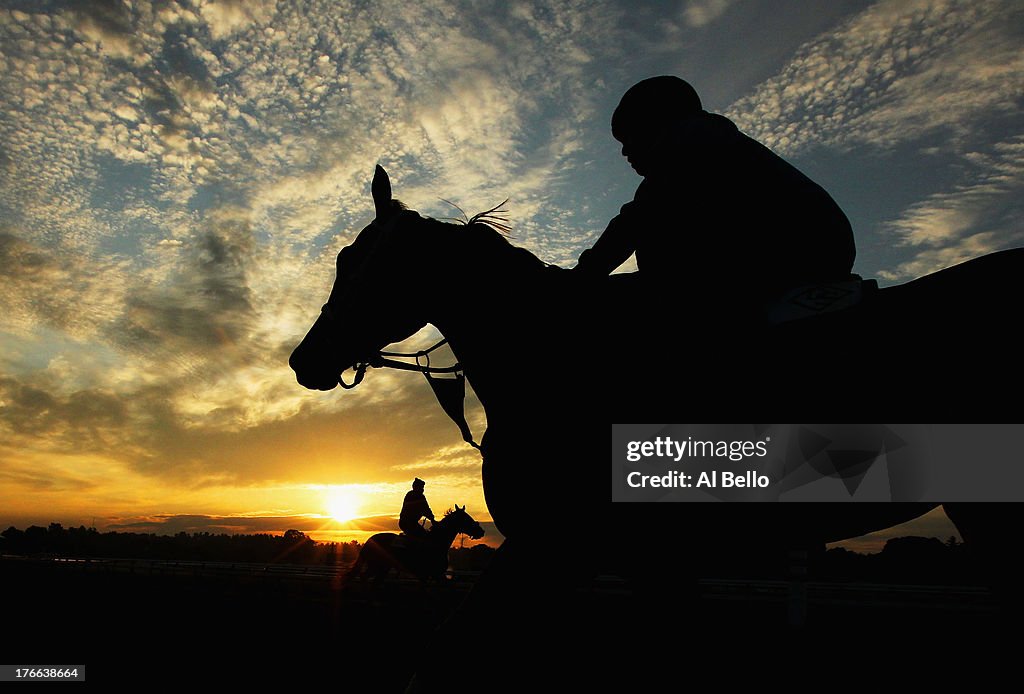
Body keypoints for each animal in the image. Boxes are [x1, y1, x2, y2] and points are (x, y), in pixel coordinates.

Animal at [348, 505, 483, 585]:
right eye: (466, 518)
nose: (481, 531)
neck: (436, 541)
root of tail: (369, 541)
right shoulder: (434, 574)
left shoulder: (430, 576)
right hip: (376, 565)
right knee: (364, 577)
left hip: (383, 567)